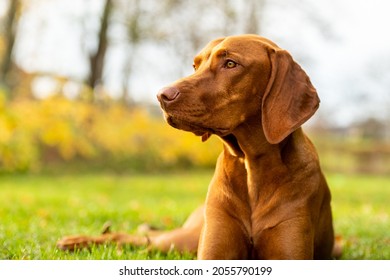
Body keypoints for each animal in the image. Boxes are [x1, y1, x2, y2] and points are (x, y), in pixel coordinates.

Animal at [58, 35, 336, 260]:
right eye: (195, 65)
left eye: (231, 64)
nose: (162, 96)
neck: (250, 163)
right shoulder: (213, 251)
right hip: (183, 240)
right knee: (138, 239)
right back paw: (78, 241)